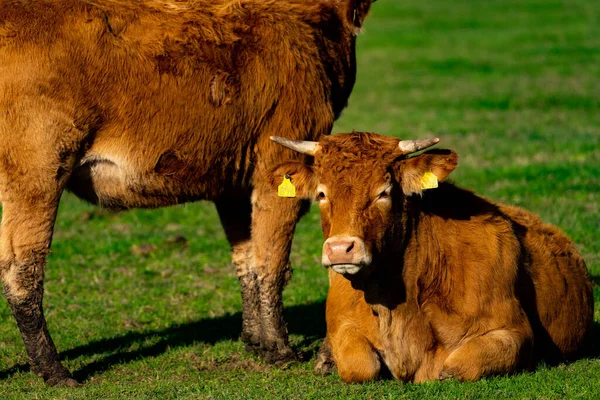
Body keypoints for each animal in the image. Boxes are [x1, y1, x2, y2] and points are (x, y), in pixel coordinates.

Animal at [0, 0, 376, 386]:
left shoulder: (233, 184)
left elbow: (246, 260)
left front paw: (254, 342)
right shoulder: (281, 162)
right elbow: (271, 263)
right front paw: (280, 351)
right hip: (37, 172)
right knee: (22, 270)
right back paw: (54, 371)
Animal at [272, 132, 596, 384]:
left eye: (384, 192)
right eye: (321, 194)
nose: (340, 249)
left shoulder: (515, 331)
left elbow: (454, 367)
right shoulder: (344, 325)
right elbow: (360, 366)